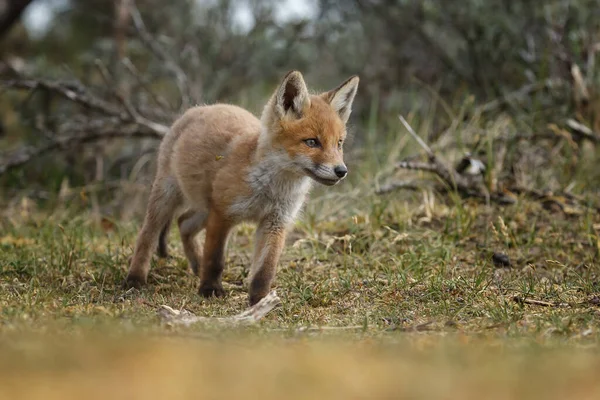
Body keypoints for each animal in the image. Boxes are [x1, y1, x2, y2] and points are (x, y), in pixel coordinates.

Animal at [122, 71, 356, 304]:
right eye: (312, 142)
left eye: (339, 143)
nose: (341, 171)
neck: (271, 189)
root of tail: (200, 108)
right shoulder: (222, 214)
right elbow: (215, 258)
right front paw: (210, 289)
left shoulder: (276, 221)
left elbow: (265, 269)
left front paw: (260, 301)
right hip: (169, 196)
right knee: (147, 236)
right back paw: (135, 278)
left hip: (204, 209)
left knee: (183, 223)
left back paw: (196, 266)